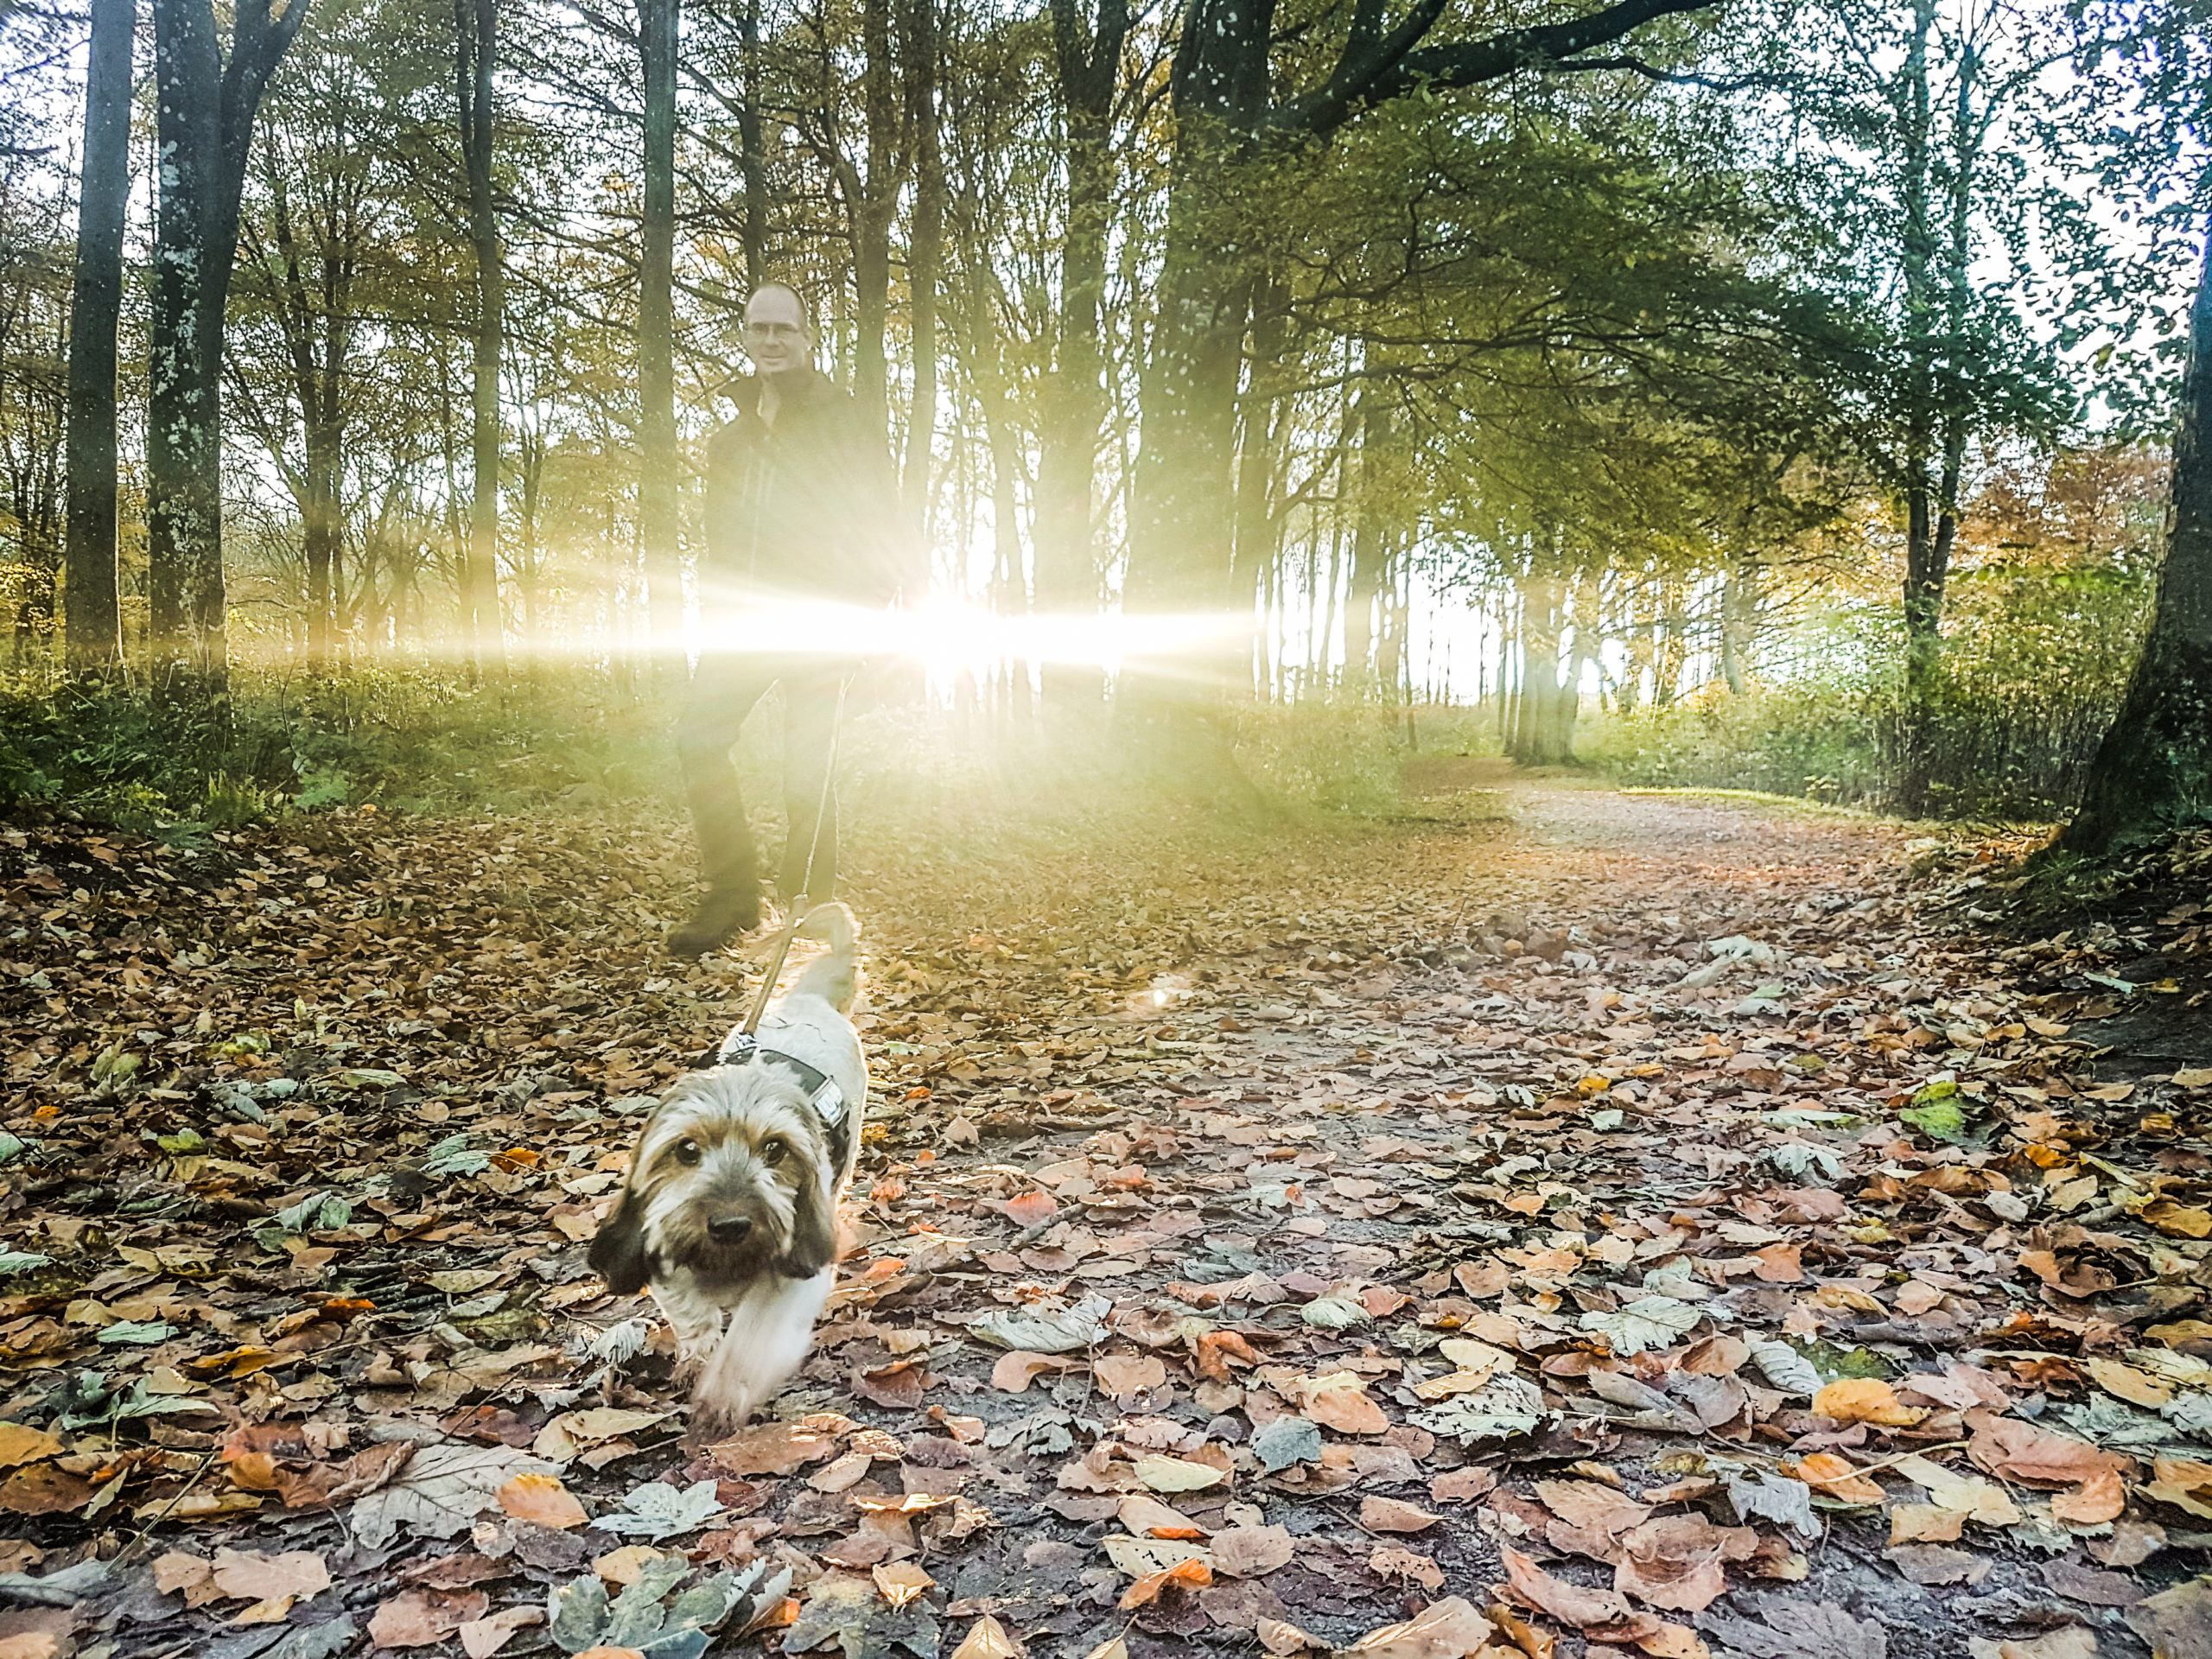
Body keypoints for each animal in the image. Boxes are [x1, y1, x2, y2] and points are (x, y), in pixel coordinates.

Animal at [588, 902, 862, 1433]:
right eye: (687, 1151)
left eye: (775, 1150)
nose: (731, 1224)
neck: (726, 1263)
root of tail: (810, 999)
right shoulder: (669, 1260)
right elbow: (691, 1315)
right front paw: (698, 1357)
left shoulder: (795, 1275)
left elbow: (753, 1338)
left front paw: (721, 1393)